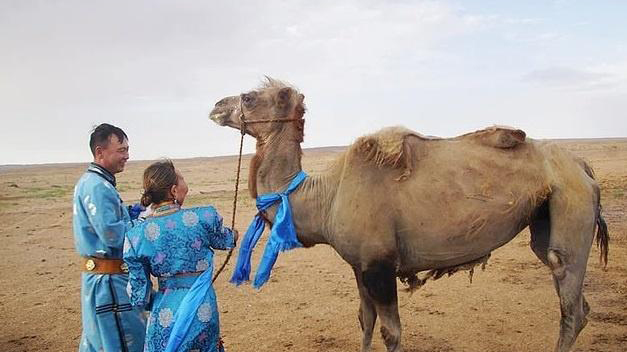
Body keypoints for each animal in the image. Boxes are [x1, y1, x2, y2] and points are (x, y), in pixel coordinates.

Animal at [209, 78, 612, 352]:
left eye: (248, 97)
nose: (215, 106)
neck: (325, 196)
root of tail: (582, 166)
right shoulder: (360, 265)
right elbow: (365, 320)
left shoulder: (381, 264)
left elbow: (391, 331)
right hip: (546, 216)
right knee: (575, 298)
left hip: (571, 202)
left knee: (569, 296)